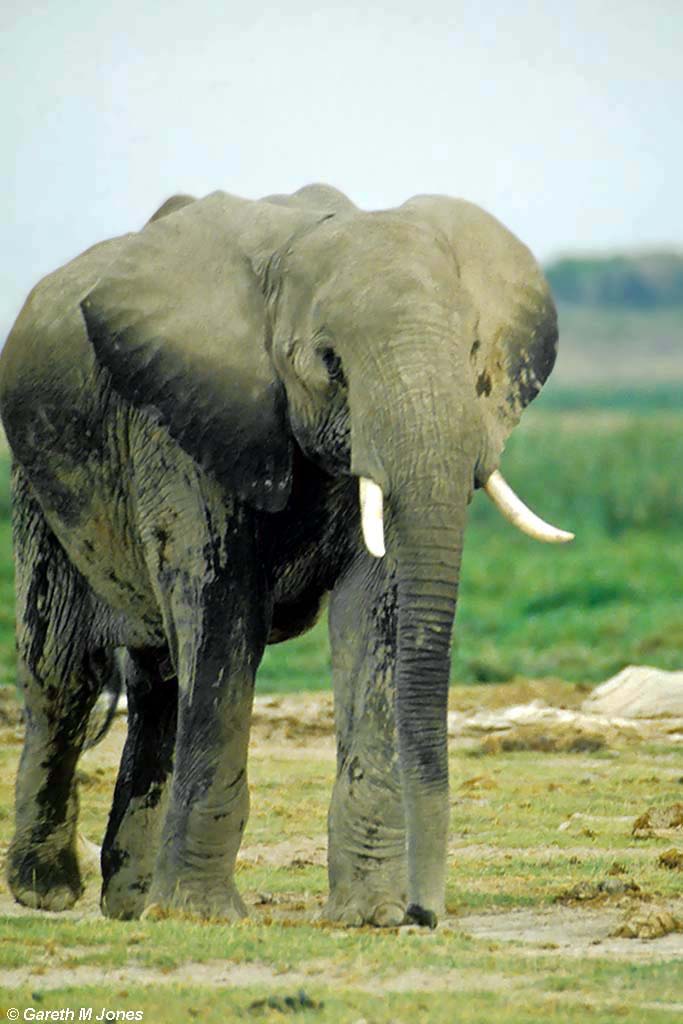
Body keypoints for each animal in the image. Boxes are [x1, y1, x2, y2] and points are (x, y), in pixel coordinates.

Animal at [0, 184, 573, 929]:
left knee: (158, 687)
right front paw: (203, 917)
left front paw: (369, 916)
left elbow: (376, 619)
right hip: (36, 485)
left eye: (474, 349)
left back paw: (130, 904)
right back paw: (47, 891)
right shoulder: (182, 426)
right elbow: (221, 615)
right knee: (63, 673)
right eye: (330, 362)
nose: (426, 914)